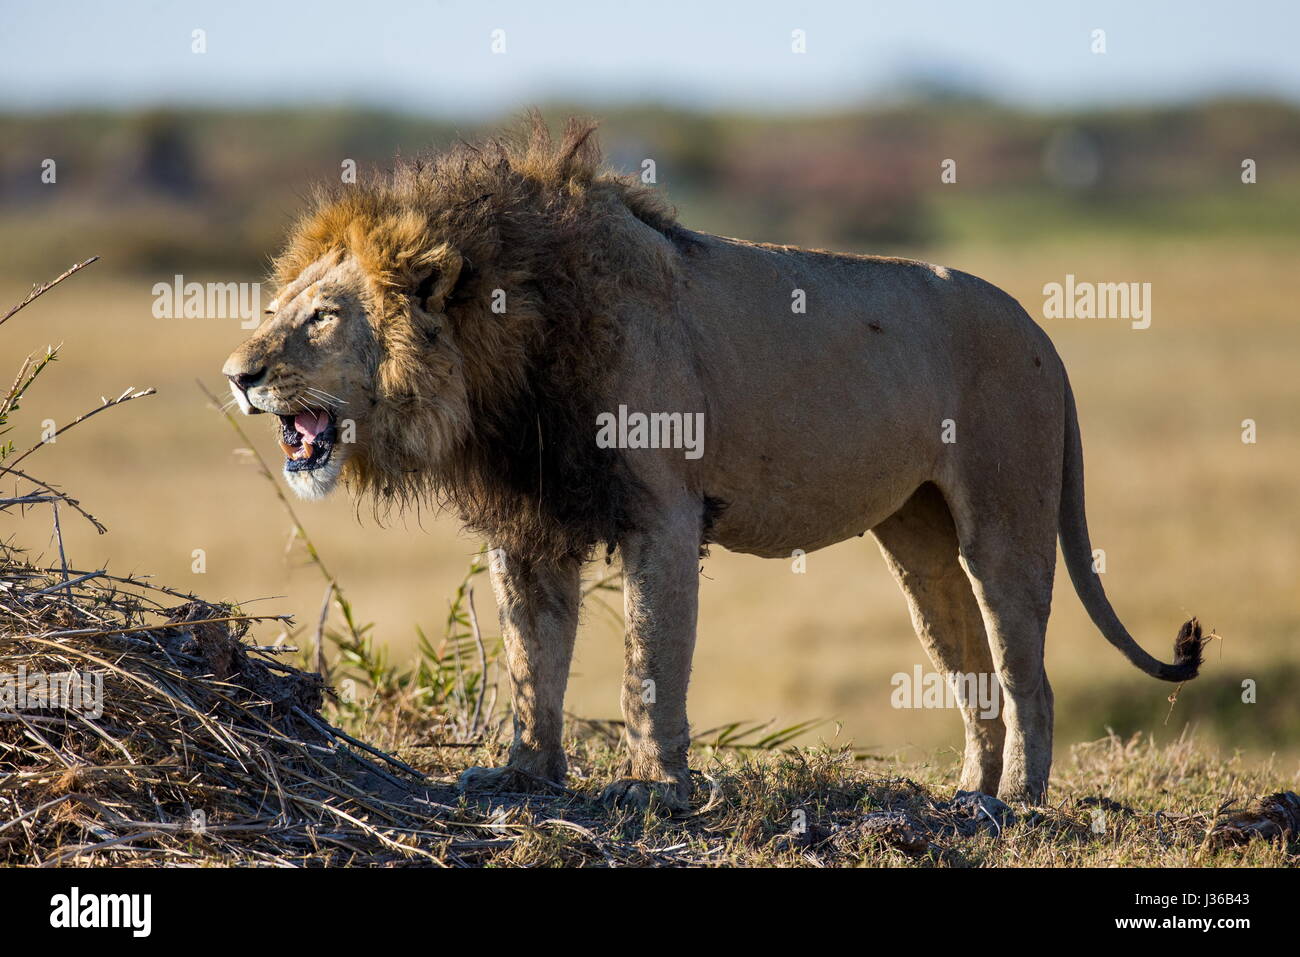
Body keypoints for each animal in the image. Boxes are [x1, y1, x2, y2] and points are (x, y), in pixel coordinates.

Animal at [220, 117, 1196, 806]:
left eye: (322, 317)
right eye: (284, 306)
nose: (238, 374)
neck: (504, 355)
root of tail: (1042, 331)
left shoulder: (663, 512)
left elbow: (651, 659)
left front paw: (653, 788)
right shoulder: (527, 522)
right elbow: (533, 656)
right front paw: (523, 775)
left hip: (1004, 518)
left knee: (1029, 669)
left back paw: (1021, 801)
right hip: (916, 536)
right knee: (968, 662)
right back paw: (970, 795)